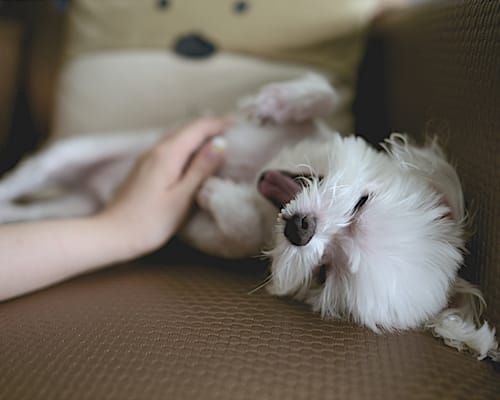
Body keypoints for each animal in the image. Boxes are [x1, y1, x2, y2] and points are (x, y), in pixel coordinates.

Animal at [0, 73, 496, 360]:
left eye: (324, 272)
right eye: (361, 204)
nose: (301, 229)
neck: (266, 170)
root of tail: (93, 189)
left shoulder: (217, 235)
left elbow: (235, 230)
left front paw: (216, 193)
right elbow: (323, 92)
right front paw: (279, 102)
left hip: (74, 207)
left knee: (35, 208)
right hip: (72, 154)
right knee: (28, 175)